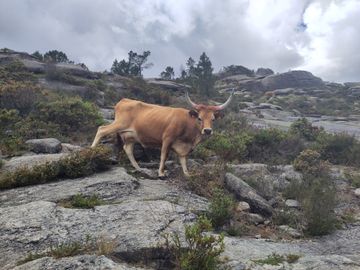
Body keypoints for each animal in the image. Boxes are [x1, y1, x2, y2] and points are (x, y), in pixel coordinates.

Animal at [91, 91, 235, 177]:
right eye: (199, 118)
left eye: (213, 119)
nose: (207, 130)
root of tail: (124, 100)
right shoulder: (167, 139)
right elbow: (164, 156)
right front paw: (161, 172)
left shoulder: (183, 147)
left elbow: (183, 160)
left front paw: (187, 174)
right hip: (119, 124)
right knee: (101, 129)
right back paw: (92, 151)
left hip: (130, 135)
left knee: (128, 149)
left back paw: (138, 168)